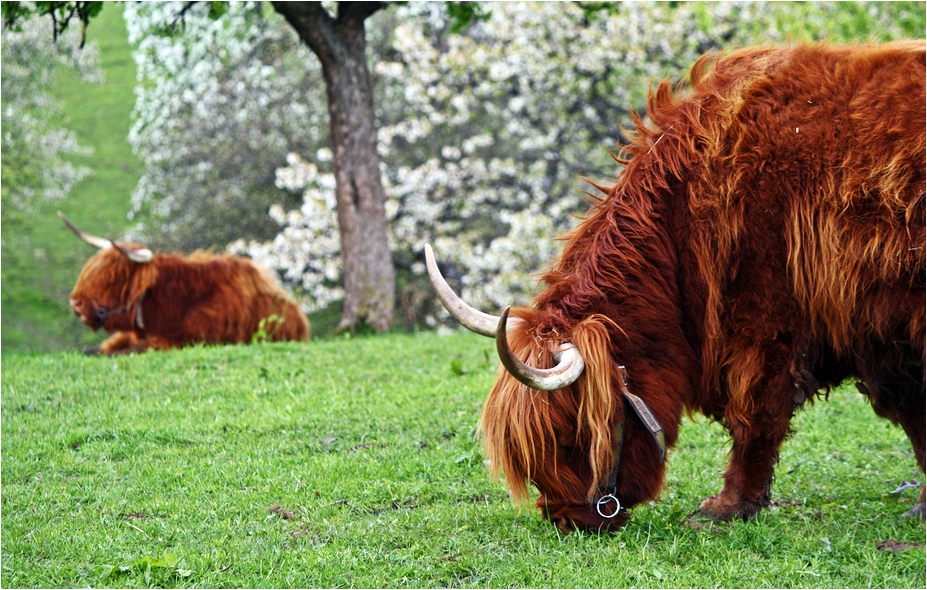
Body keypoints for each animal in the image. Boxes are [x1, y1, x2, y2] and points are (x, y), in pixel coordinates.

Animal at [428, 41, 927, 532]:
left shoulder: (766, 322)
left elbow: (756, 414)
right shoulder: (881, 341)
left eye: (572, 435)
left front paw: (726, 507)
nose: (565, 520)